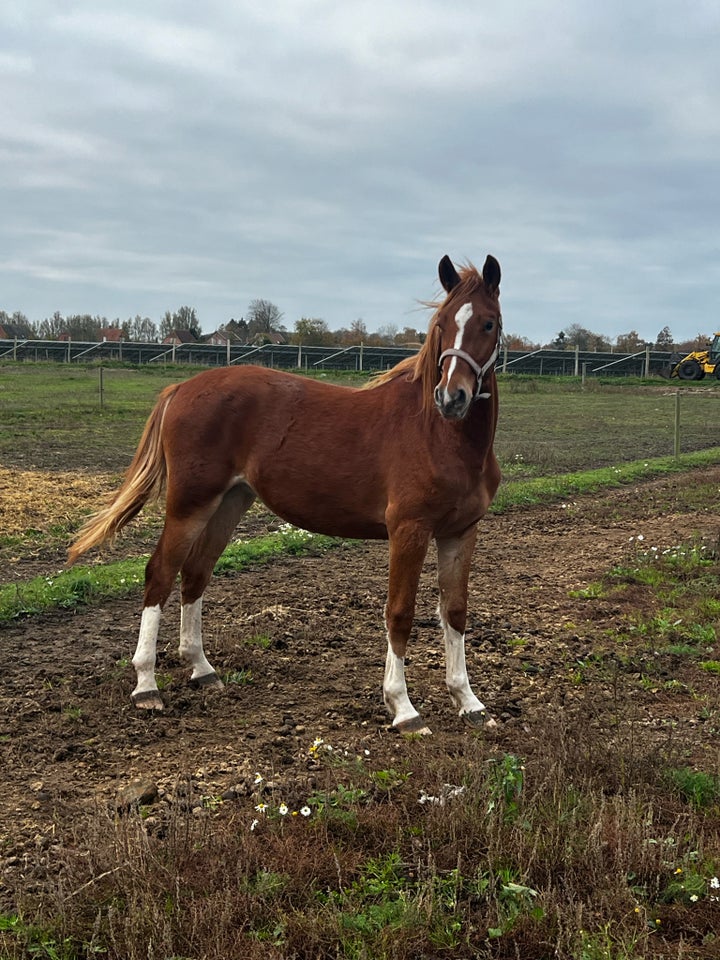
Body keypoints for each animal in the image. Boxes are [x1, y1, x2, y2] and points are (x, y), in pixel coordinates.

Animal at [70, 255, 504, 736]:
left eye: (489, 323)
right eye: (442, 324)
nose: (452, 397)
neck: (438, 435)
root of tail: (181, 388)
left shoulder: (461, 532)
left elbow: (455, 611)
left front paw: (469, 701)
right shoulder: (409, 531)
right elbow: (400, 613)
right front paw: (404, 708)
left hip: (230, 502)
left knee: (195, 574)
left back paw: (202, 670)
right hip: (189, 505)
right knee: (160, 574)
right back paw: (146, 685)